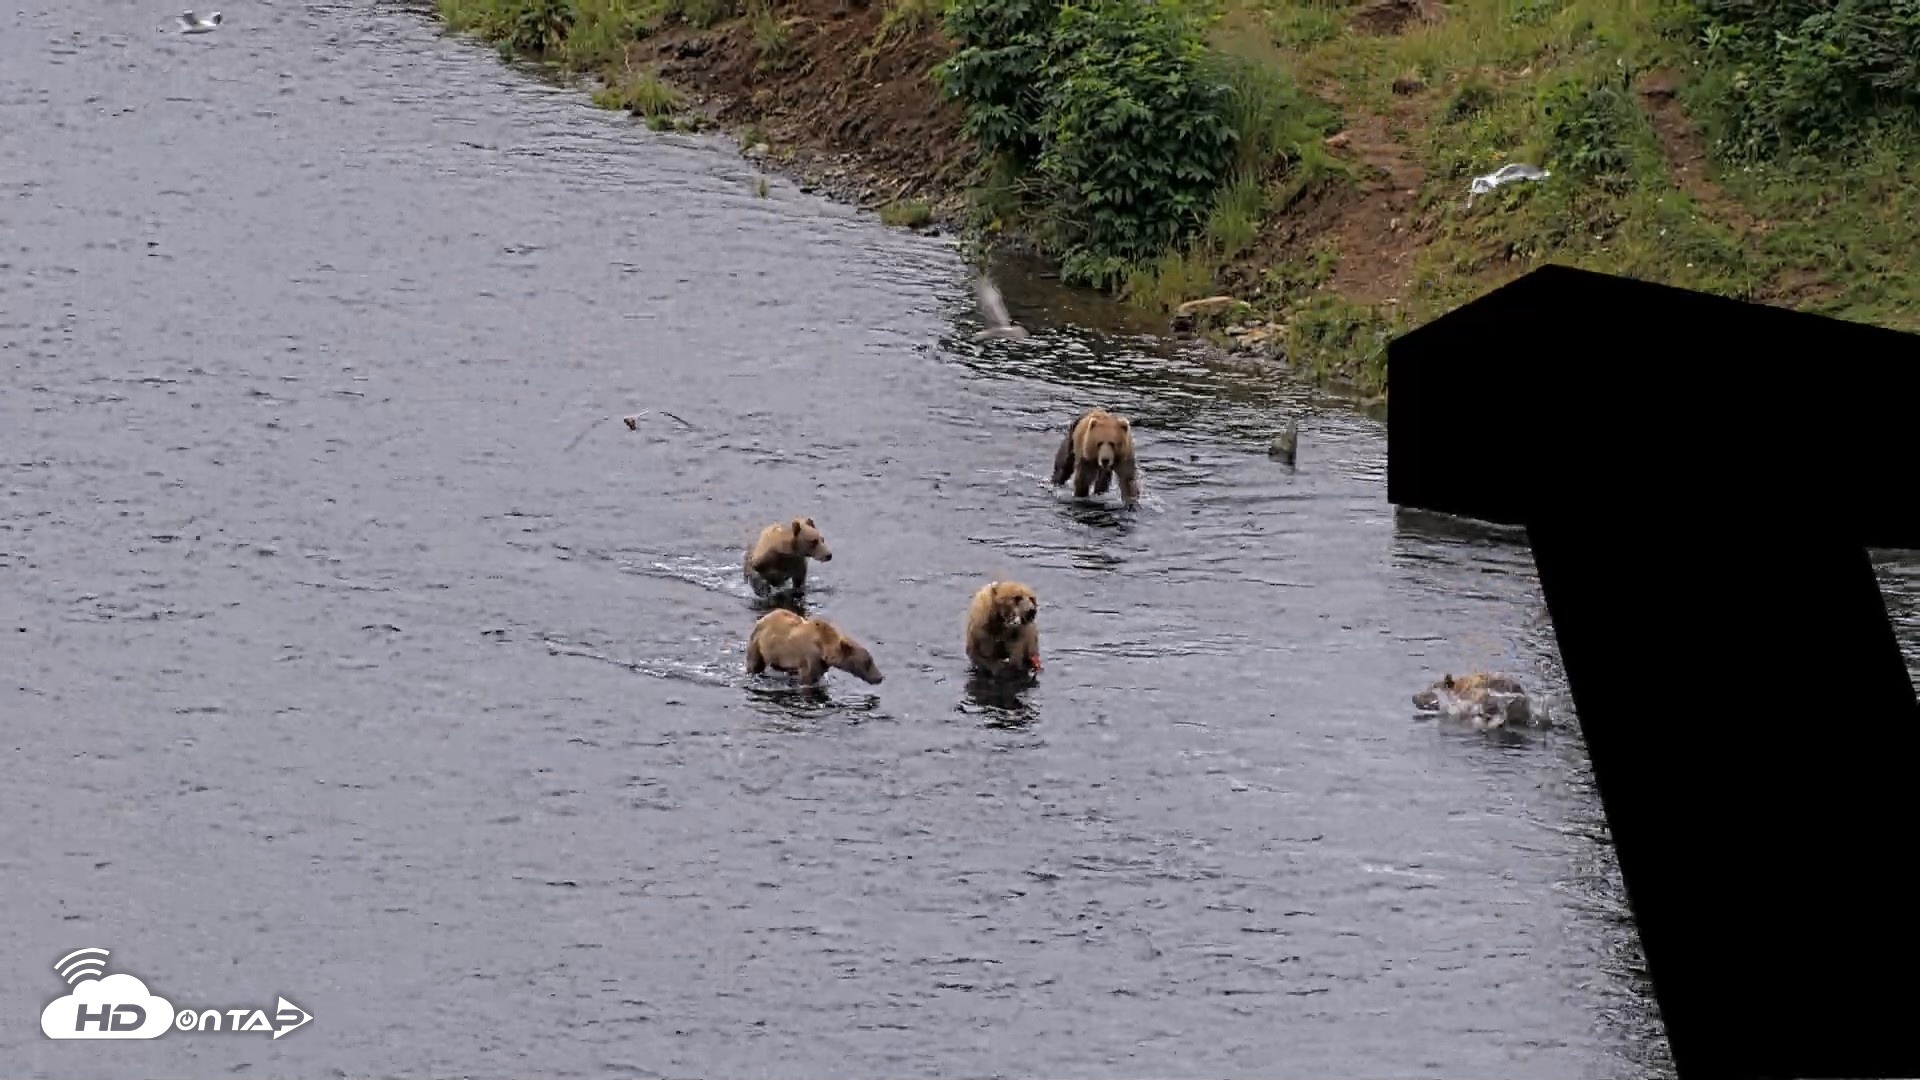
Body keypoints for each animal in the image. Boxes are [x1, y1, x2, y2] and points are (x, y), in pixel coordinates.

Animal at [745, 608, 884, 686]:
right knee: (755, 662)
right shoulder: (811, 657)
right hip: (758, 643)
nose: (880, 677)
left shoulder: (821, 662)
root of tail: (763, 617)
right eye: (868, 662)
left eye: (871, 660)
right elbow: (808, 679)